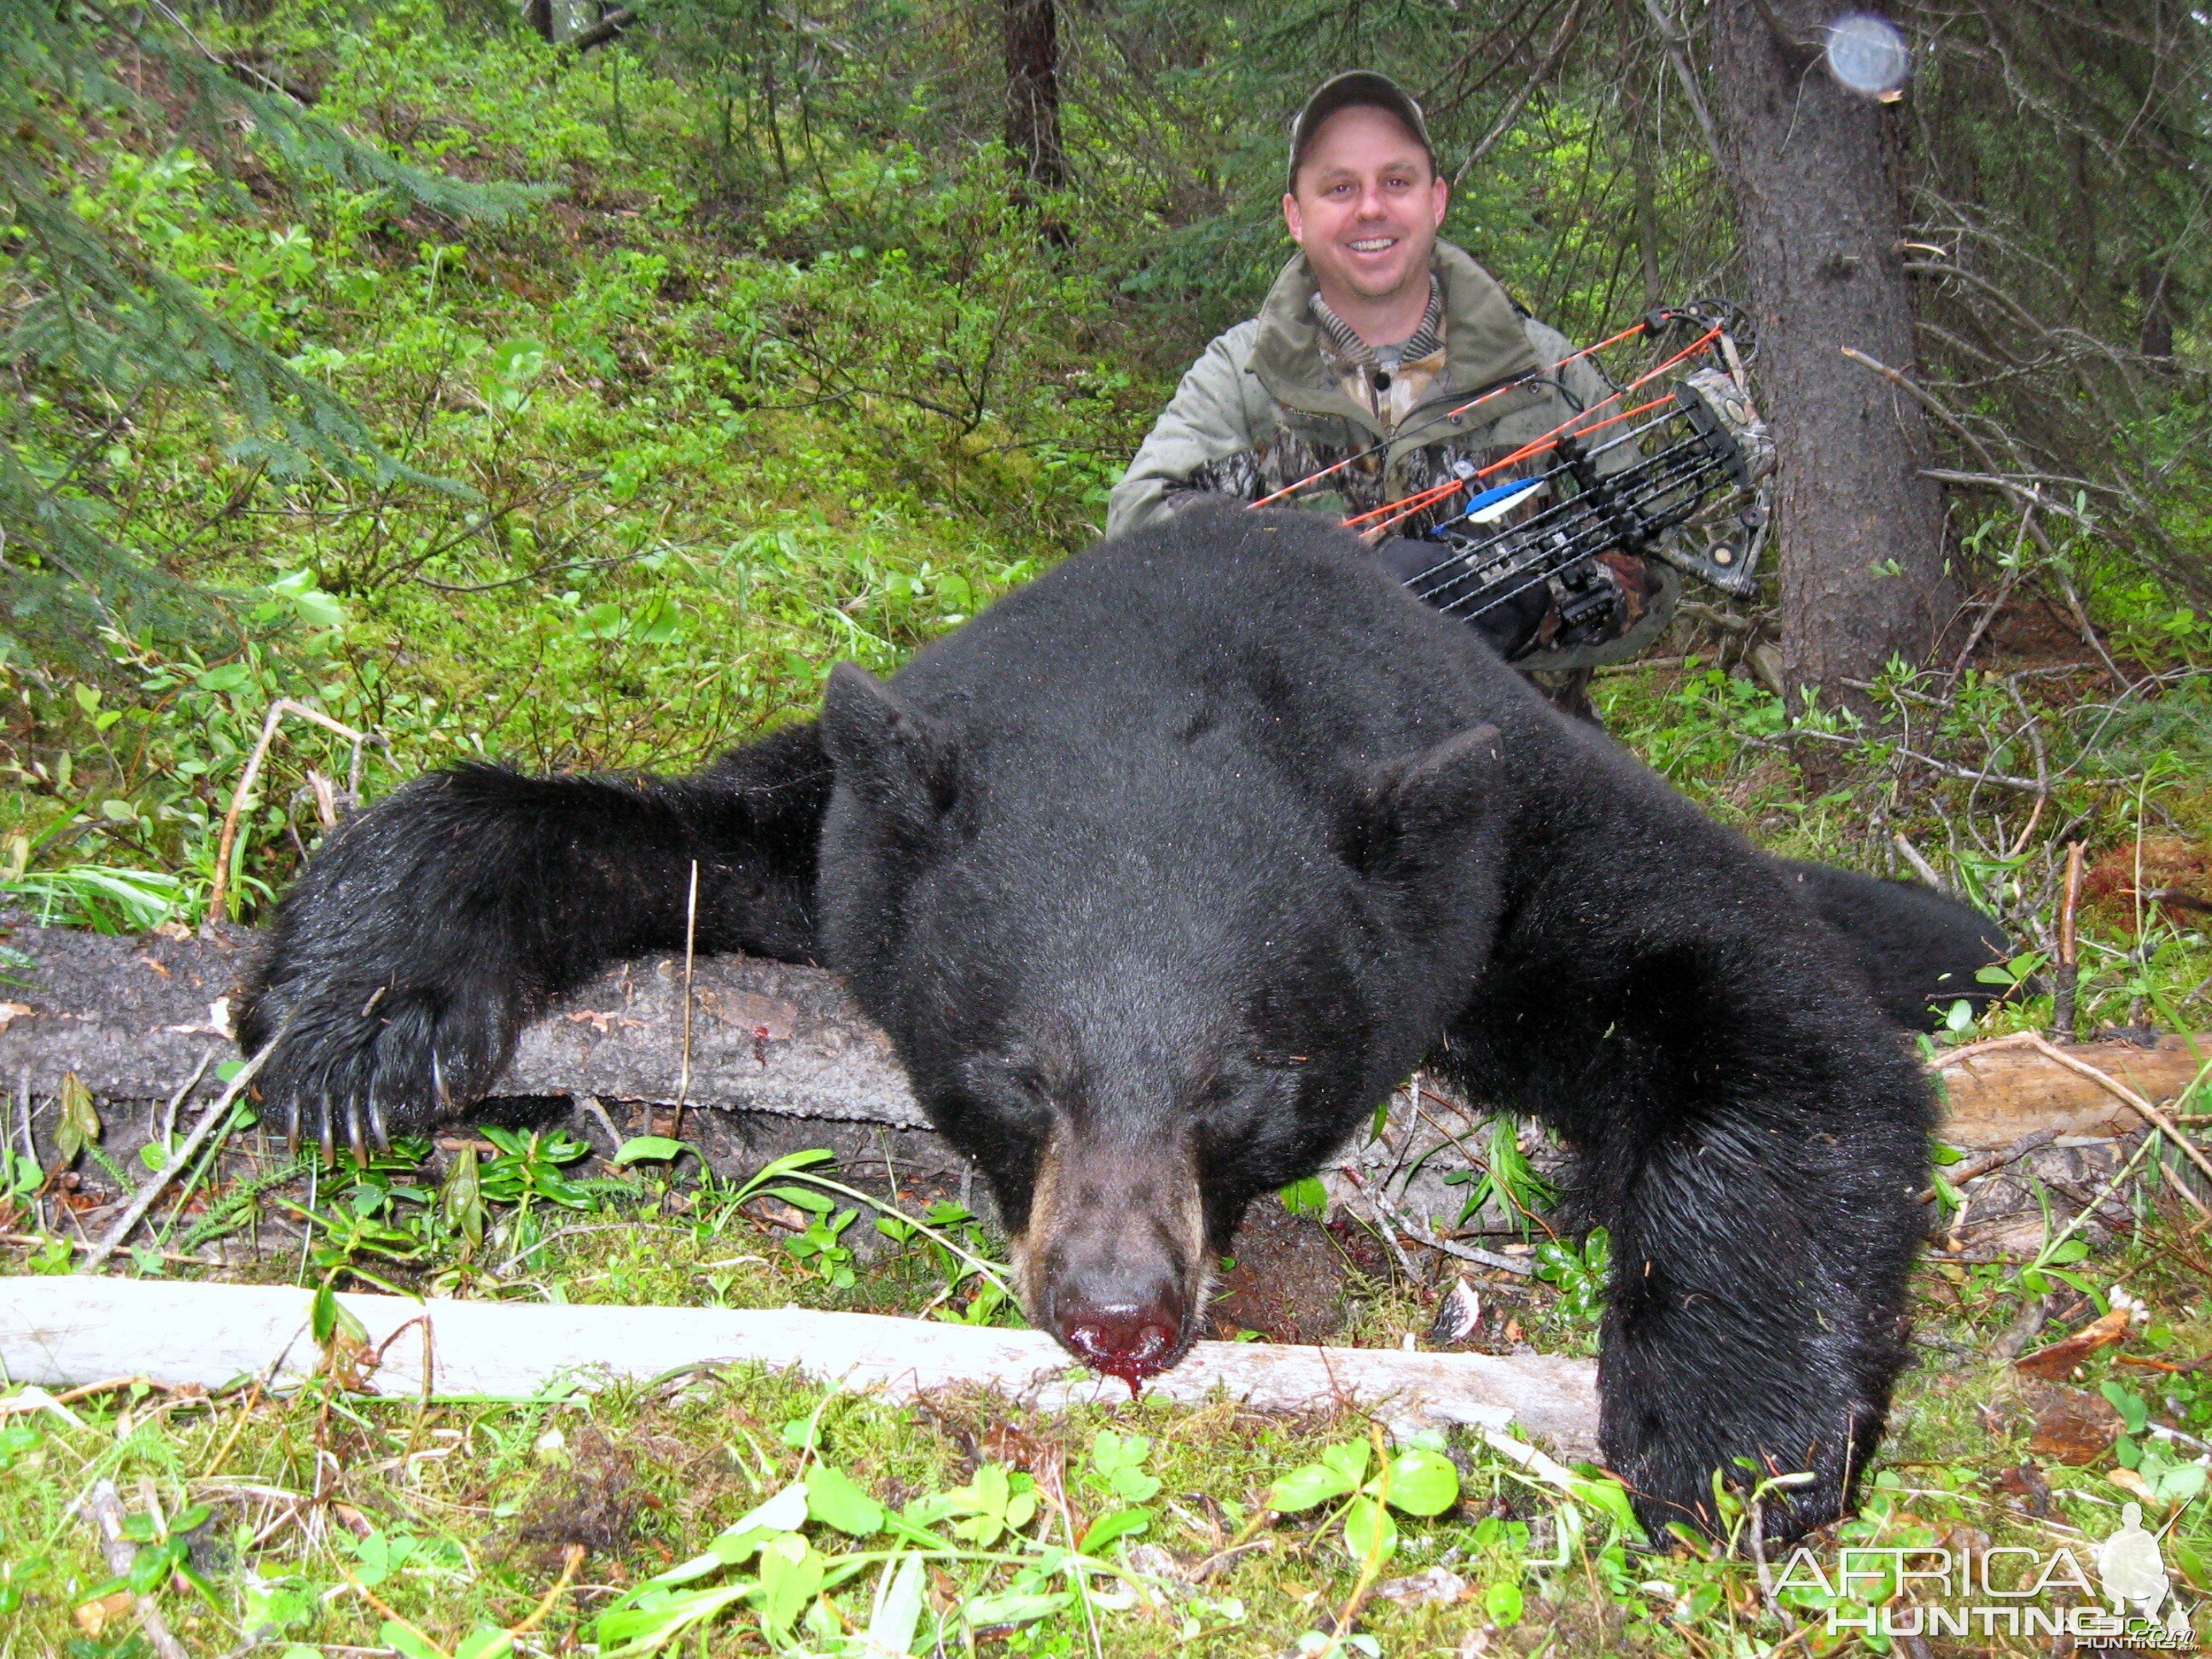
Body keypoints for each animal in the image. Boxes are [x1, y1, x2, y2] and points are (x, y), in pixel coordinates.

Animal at [242, 504, 2008, 1548]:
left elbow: (1759, 990)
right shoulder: (865, 823)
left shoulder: (1497, 828)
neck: (1202, 647)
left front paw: (1731, 1431)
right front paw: (360, 1013)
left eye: (1248, 1084)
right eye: (1012, 1072)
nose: (1116, 1315)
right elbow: (656, 832)